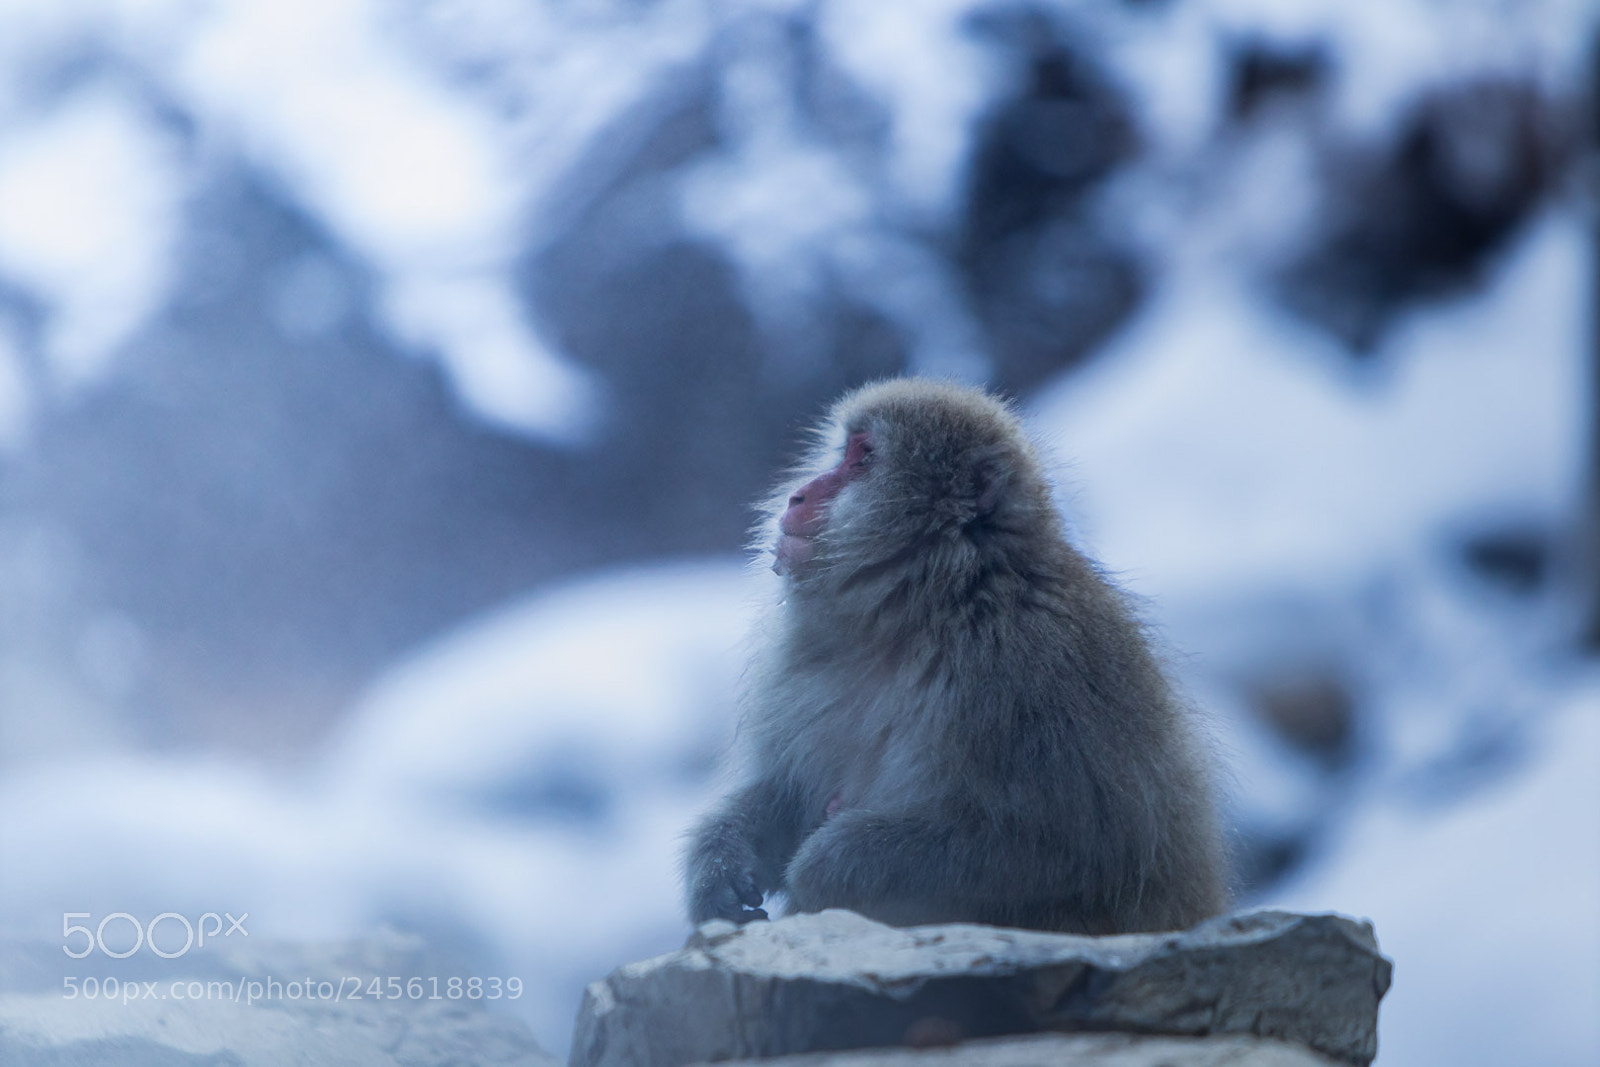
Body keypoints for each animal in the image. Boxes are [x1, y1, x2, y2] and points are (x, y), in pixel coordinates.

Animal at [685, 378, 1229, 934]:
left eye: (864, 459)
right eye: (846, 451)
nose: (798, 494)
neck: (928, 610)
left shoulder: (1034, 666)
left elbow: (1066, 851)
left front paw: (824, 865)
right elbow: (787, 792)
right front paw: (722, 862)